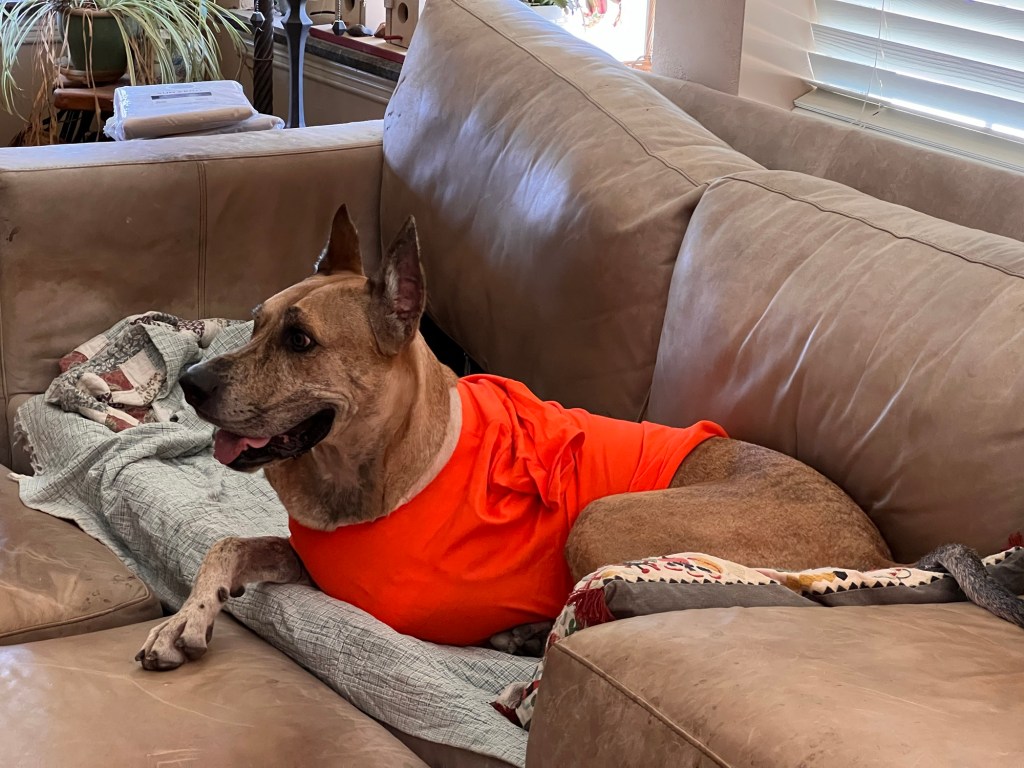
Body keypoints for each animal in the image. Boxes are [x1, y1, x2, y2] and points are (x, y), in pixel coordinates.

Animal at [136, 205, 1024, 670]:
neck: (386, 465)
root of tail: (880, 554)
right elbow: (225, 544)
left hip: (606, 520)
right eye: (255, 322)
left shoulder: (397, 611)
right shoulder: (315, 558)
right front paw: (186, 619)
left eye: (300, 341)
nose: (193, 384)